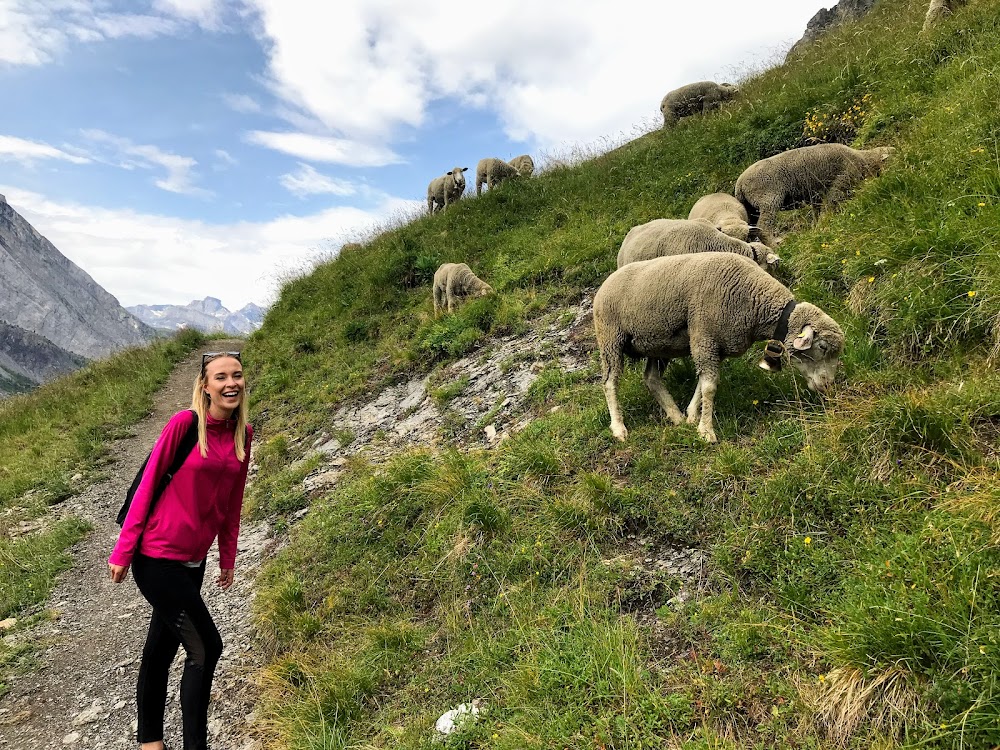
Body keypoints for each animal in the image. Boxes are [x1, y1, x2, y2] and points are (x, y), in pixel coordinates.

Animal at [592, 253, 844, 444]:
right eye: (822, 346)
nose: (828, 385)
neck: (754, 301)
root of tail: (606, 282)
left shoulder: (715, 343)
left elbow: (703, 383)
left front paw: (692, 416)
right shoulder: (704, 335)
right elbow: (710, 386)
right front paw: (706, 431)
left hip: (658, 343)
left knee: (651, 378)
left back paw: (675, 416)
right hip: (611, 338)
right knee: (610, 382)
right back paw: (619, 428)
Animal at [736, 142, 892, 245]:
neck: (863, 159)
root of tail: (739, 184)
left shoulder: (817, 194)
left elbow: (817, 210)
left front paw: (816, 227)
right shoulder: (839, 183)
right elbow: (830, 205)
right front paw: (825, 224)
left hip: (750, 208)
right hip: (769, 199)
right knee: (764, 226)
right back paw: (774, 244)